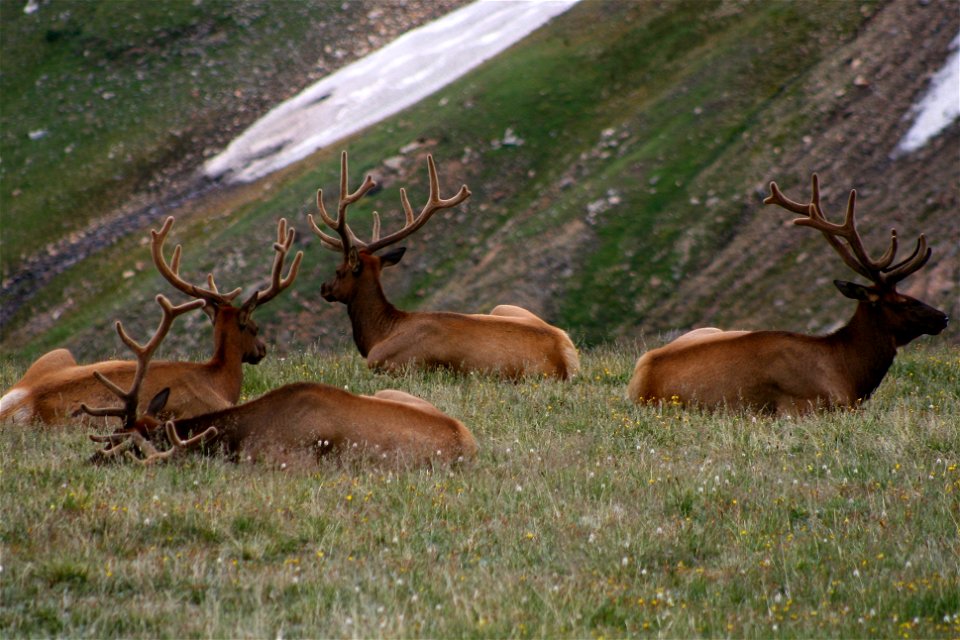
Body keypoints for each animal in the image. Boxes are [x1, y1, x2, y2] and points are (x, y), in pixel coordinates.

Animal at [308, 150, 576, 380]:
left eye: (339, 271)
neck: (380, 334)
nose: (323, 287)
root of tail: (565, 357)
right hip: (505, 308)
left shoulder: (390, 364)